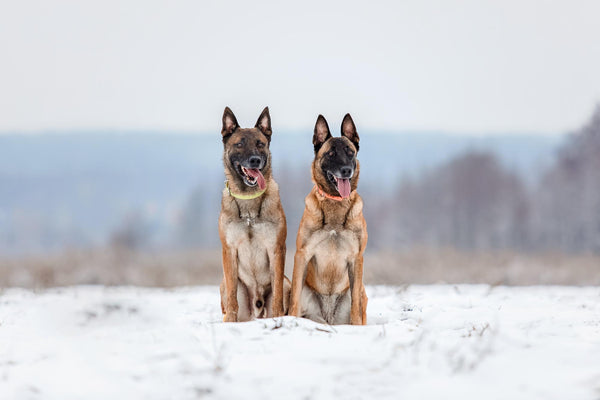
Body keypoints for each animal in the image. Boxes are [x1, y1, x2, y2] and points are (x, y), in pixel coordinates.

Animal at [290, 112, 368, 324]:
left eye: (350, 152)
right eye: (331, 154)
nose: (346, 170)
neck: (335, 203)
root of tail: (329, 318)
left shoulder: (356, 259)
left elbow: (355, 305)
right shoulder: (302, 254)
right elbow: (294, 300)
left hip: (360, 290)